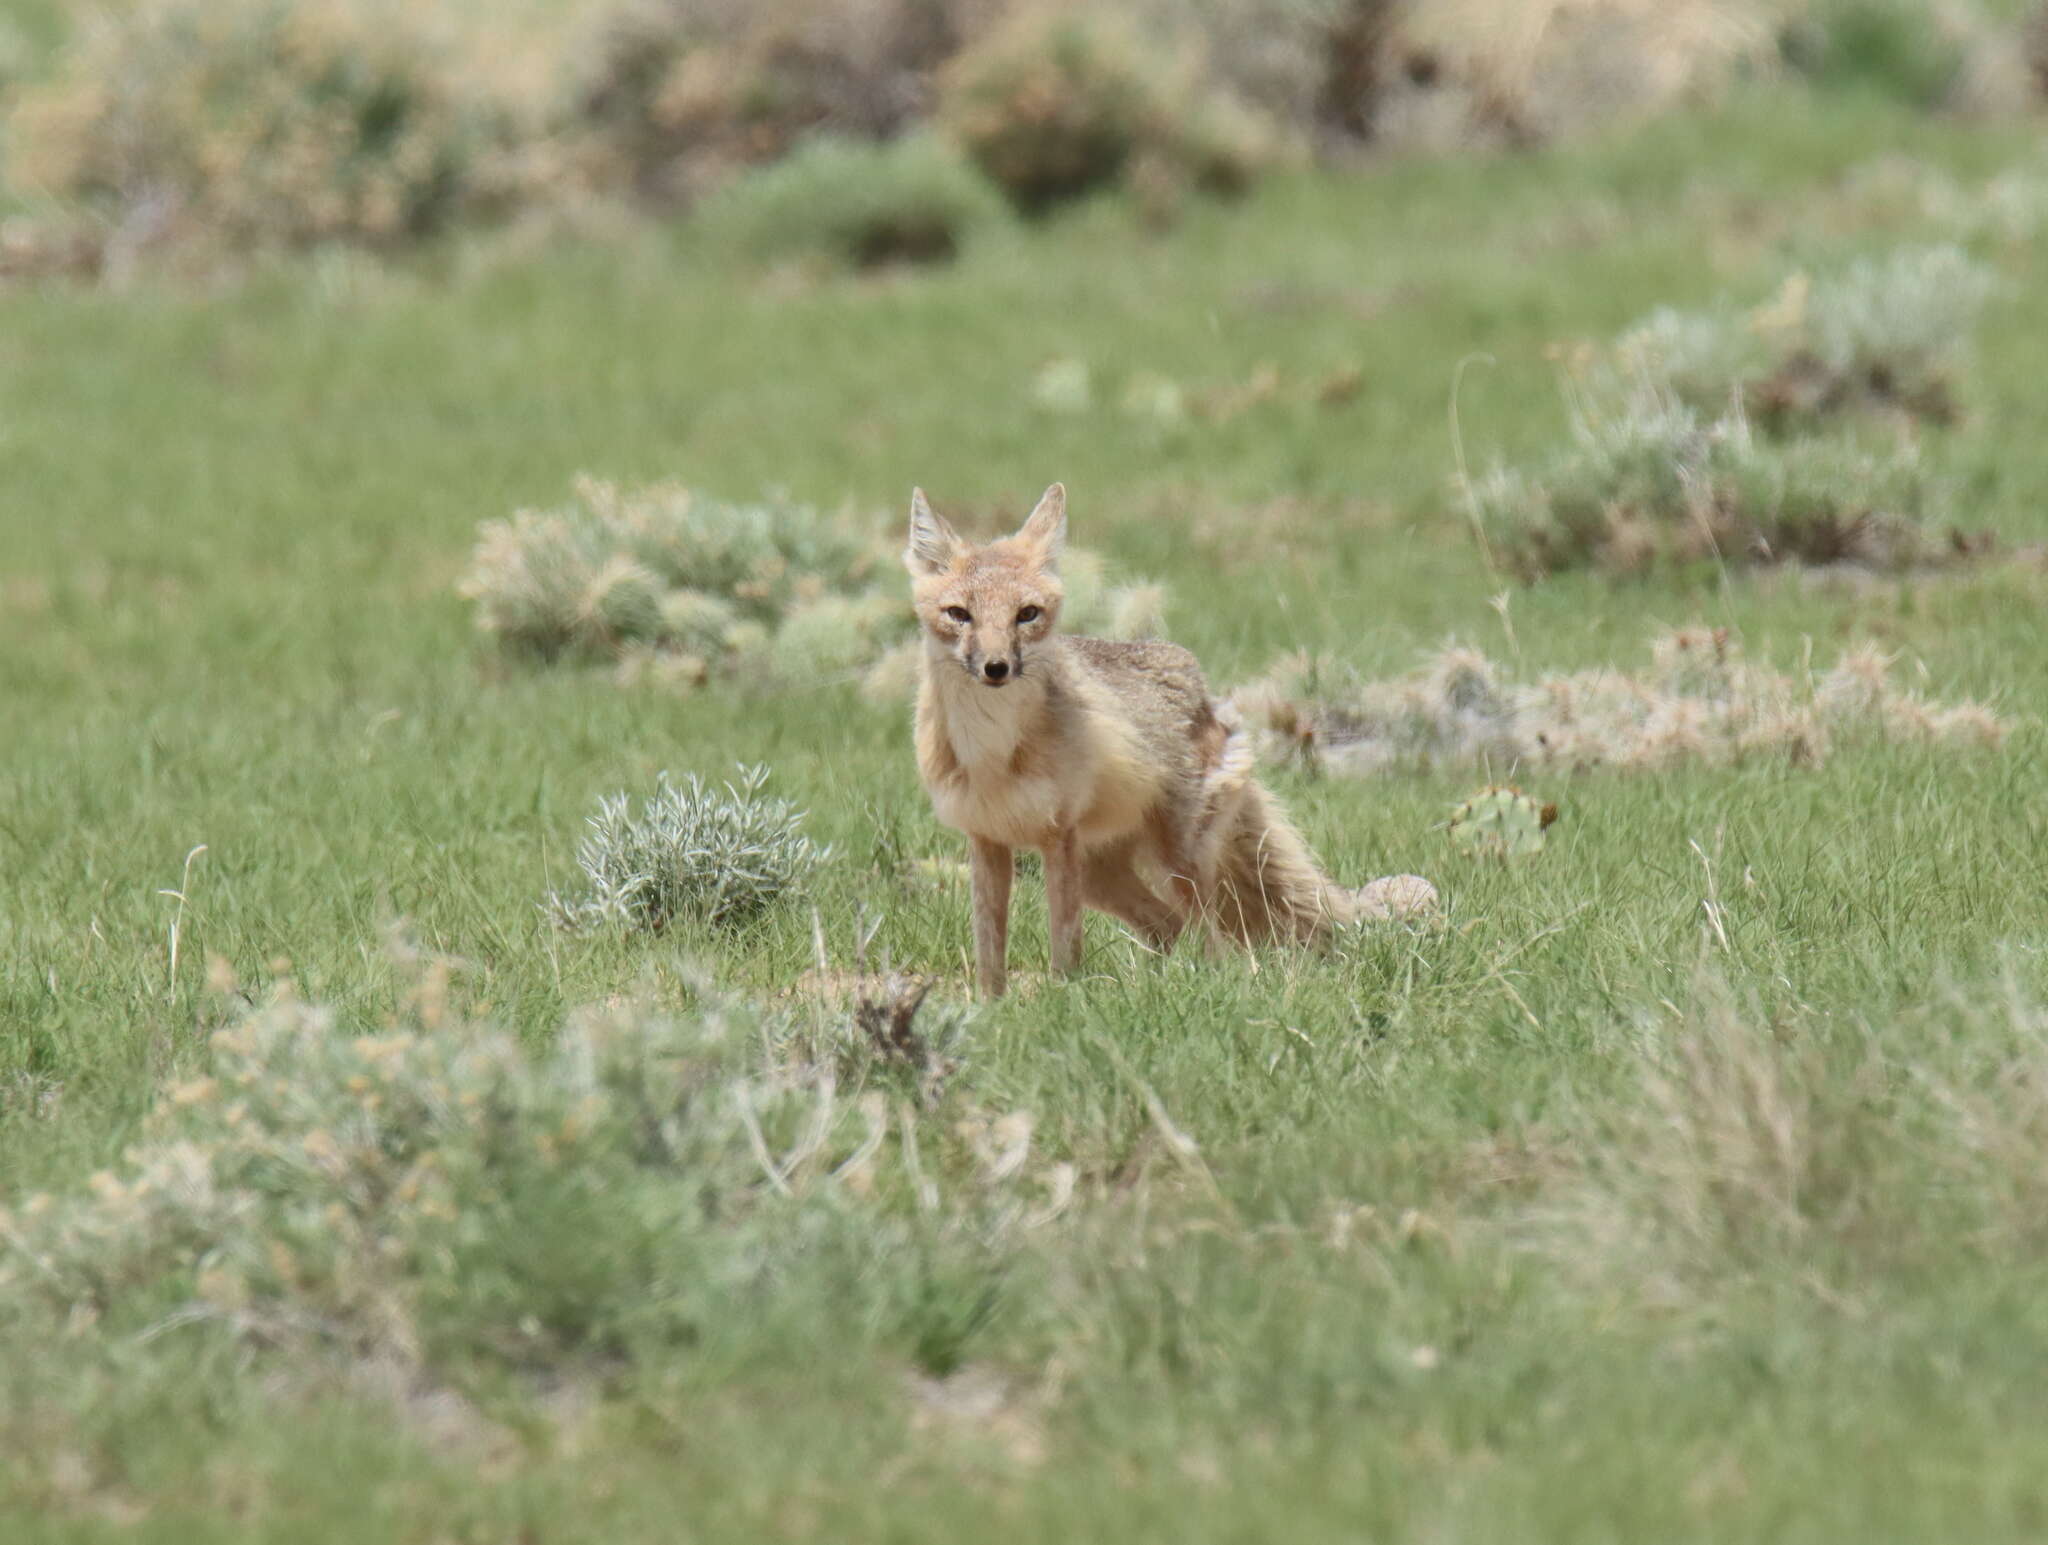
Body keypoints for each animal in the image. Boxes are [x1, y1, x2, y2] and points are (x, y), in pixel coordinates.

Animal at [905, 481, 1417, 999]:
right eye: (959, 614)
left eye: (1026, 615)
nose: (996, 668)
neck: (990, 750)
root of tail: (1207, 693)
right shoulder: (987, 839)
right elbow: (989, 947)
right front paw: (991, 1006)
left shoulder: (1057, 837)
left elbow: (1065, 942)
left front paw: (1065, 998)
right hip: (1100, 873)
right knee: (1166, 923)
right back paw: (1144, 991)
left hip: (1177, 863)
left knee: (1213, 941)